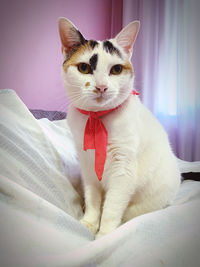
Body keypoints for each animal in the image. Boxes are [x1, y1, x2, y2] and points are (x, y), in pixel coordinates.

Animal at [58, 17, 181, 239]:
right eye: (84, 68)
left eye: (115, 69)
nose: (101, 86)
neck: (97, 118)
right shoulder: (88, 167)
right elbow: (93, 200)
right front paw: (89, 222)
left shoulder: (123, 171)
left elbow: (111, 208)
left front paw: (104, 235)